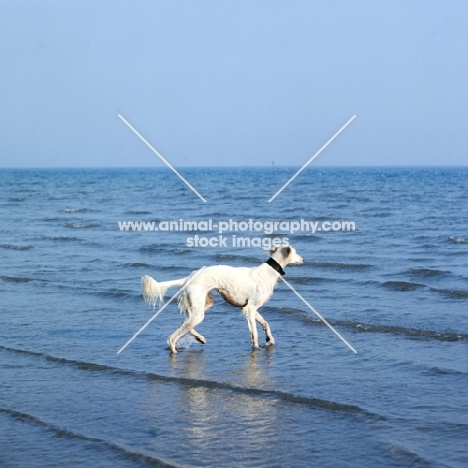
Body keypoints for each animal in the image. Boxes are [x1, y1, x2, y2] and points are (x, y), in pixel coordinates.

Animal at [141, 245, 306, 352]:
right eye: (296, 252)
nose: (304, 260)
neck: (269, 271)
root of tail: (189, 277)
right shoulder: (251, 309)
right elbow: (255, 332)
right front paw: (256, 346)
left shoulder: (248, 308)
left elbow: (265, 323)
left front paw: (270, 339)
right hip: (198, 312)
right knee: (172, 337)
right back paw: (175, 350)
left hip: (201, 306)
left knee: (185, 323)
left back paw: (200, 338)